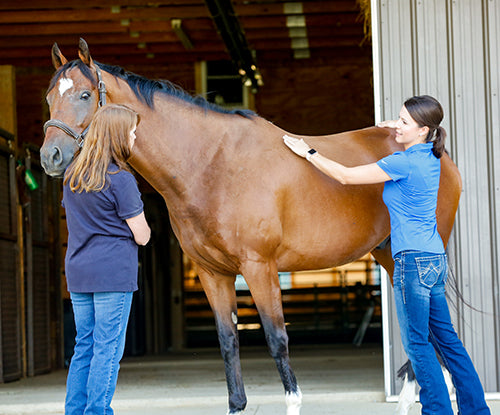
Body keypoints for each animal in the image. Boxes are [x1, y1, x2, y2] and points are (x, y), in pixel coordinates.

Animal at [39, 39, 460, 415]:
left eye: (84, 95)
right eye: (49, 97)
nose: (50, 157)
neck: (211, 163)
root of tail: (437, 152)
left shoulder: (259, 268)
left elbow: (276, 339)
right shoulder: (213, 274)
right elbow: (228, 341)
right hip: (389, 255)